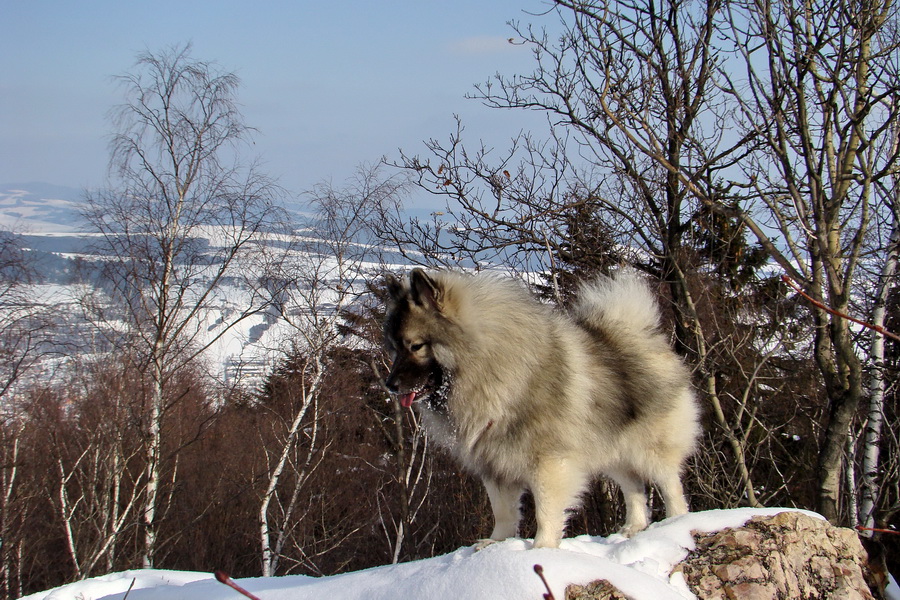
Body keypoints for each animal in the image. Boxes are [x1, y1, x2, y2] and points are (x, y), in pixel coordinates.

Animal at [384, 268, 700, 548]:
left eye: (415, 346)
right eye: (394, 348)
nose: (389, 384)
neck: (486, 366)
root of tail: (642, 335)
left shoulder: (548, 463)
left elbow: (546, 510)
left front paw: (542, 547)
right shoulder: (494, 465)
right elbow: (503, 512)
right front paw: (497, 542)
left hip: (649, 449)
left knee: (670, 485)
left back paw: (674, 523)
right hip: (614, 450)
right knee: (633, 488)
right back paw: (633, 527)